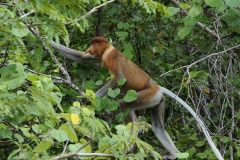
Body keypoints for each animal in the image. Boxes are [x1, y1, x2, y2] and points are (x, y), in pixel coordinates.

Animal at [51, 37, 224, 160]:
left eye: (95, 44)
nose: (90, 49)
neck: (108, 49)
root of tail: (156, 86)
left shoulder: (110, 57)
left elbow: (119, 78)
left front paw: (91, 98)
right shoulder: (99, 57)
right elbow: (80, 57)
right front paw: (48, 39)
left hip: (148, 96)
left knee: (125, 106)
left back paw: (132, 146)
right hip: (158, 100)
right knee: (158, 127)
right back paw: (175, 155)